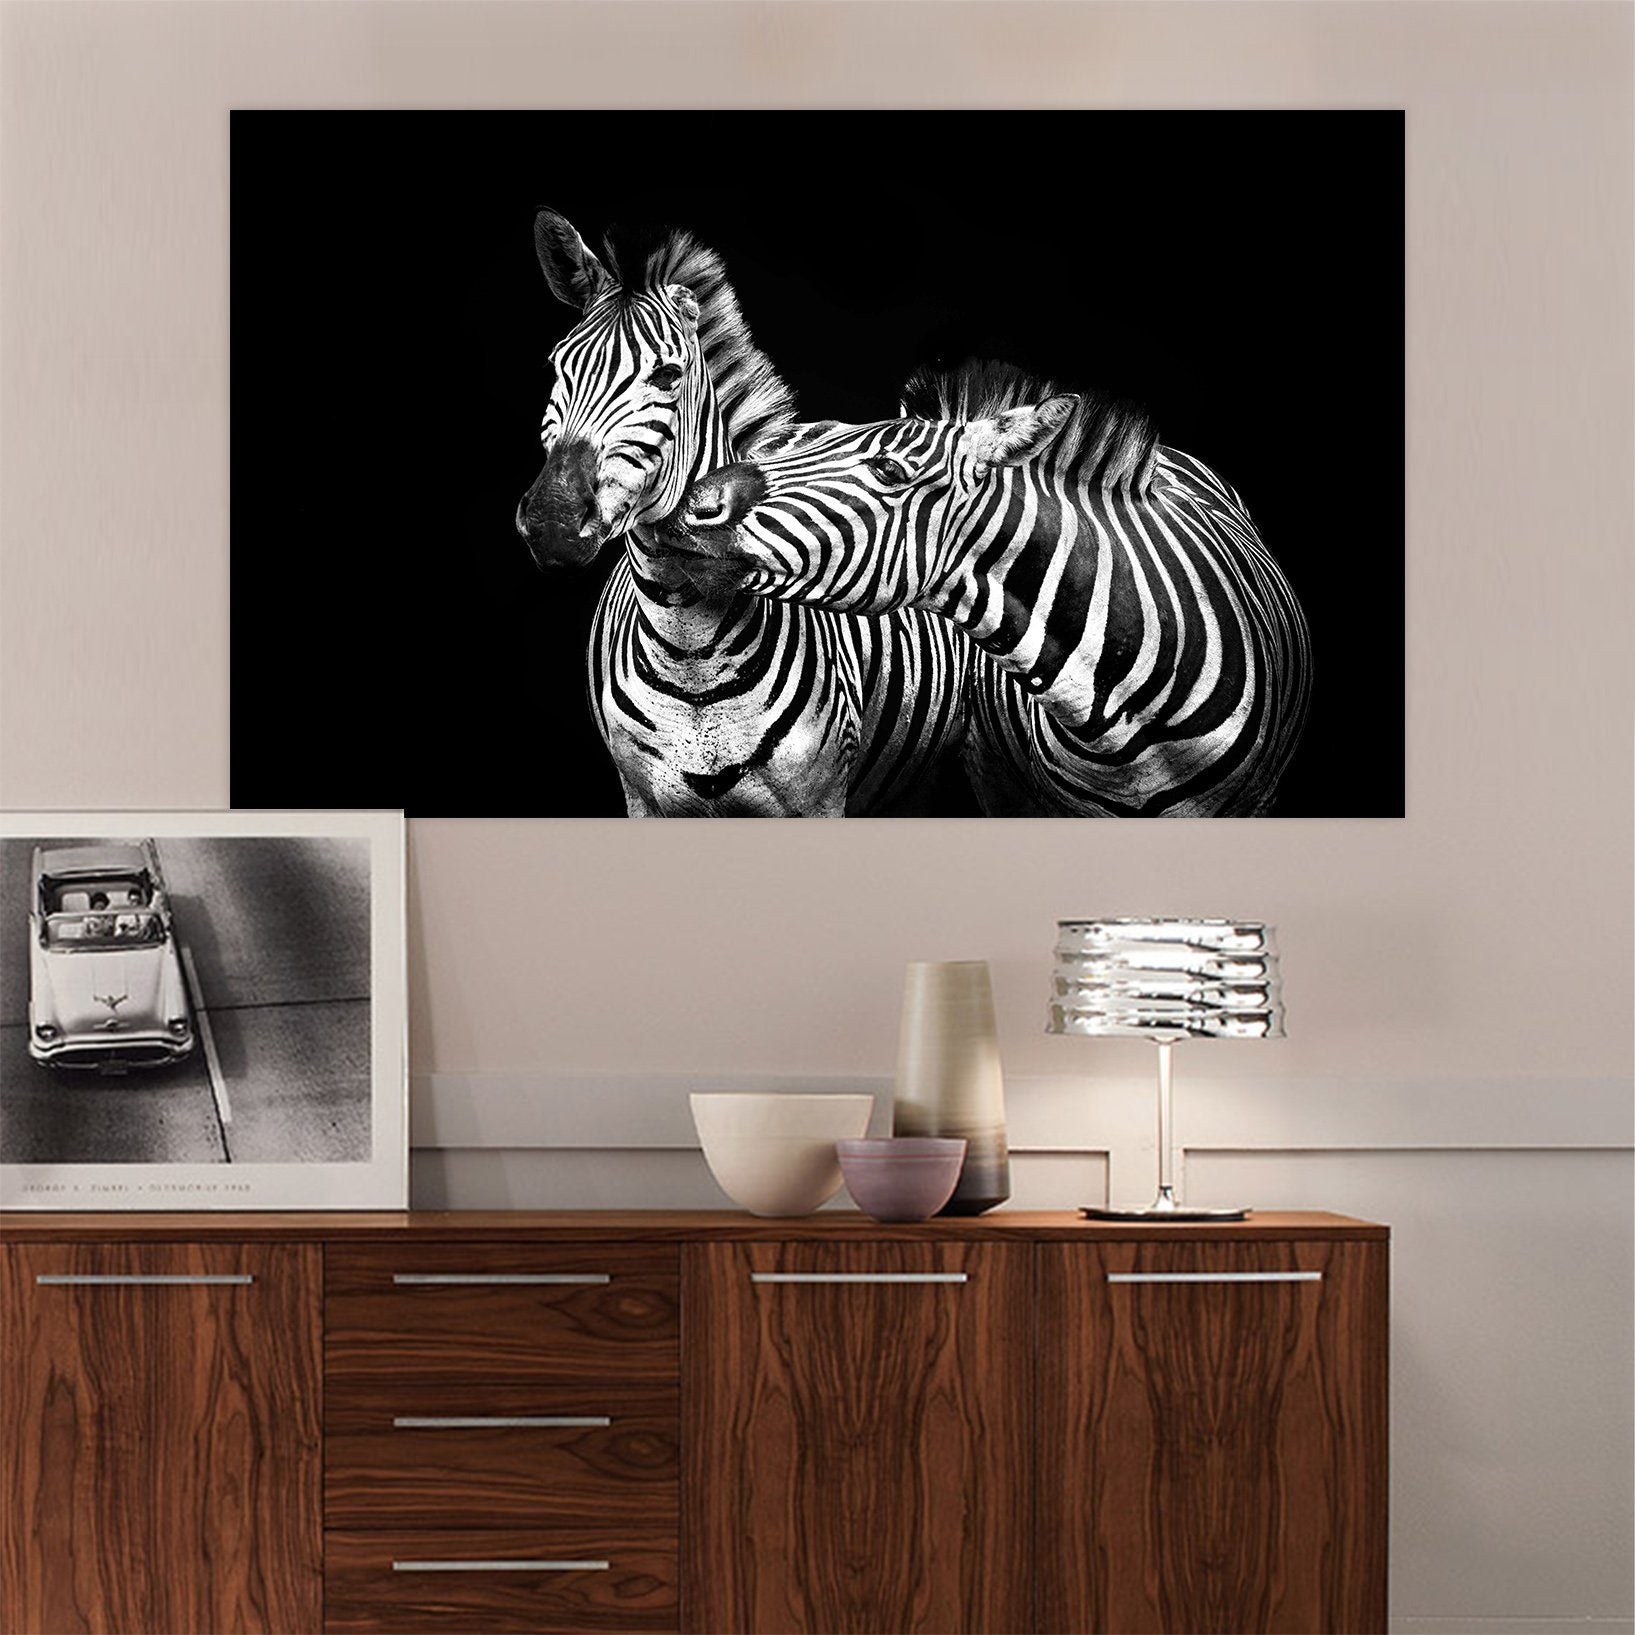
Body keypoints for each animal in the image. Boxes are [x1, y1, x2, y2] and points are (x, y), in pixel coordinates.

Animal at [514, 212, 967, 817]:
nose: (552, 523)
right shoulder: (640, 797)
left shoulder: (820, 800)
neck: (688, 648)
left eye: (667, 376)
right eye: (556, 365)